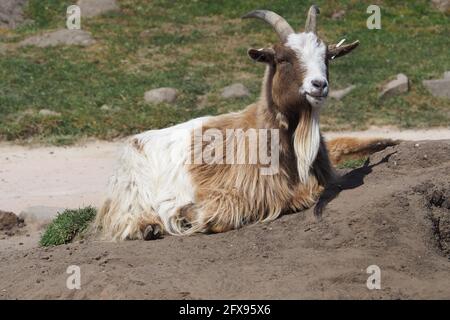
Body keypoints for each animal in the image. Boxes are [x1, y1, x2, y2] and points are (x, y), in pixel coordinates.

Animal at [94, 5, 394, 240]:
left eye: (327, 57)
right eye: (283, 58)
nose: (319, 85)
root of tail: (134, 141)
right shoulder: (237, 188)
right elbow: (226, 210)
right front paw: (189, 214)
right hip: (133, 187)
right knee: (125, 217)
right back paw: (147, 226)